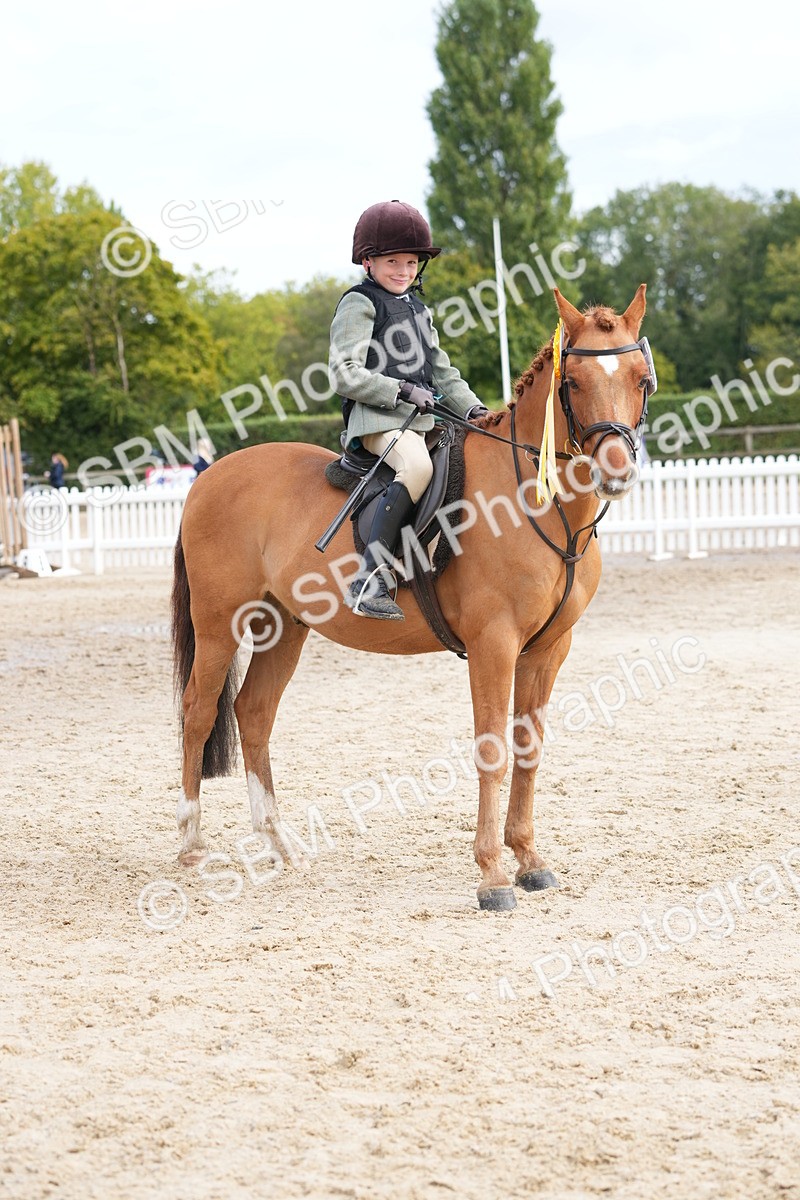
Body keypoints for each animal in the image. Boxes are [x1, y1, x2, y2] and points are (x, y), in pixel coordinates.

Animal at [170, 285, 652, 911]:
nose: (616, 472)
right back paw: (191, 847)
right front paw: (492, 876)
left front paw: (529, 860)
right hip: (219, 625)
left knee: (253, 714)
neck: (533, 500)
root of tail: (207, 478)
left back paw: (279, 845)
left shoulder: (548, 651)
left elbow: (528, 750)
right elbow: (493, 751)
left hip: (284, 627)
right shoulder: (494, 644)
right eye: (572, 383)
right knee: (198, 713)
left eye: (642, 380)